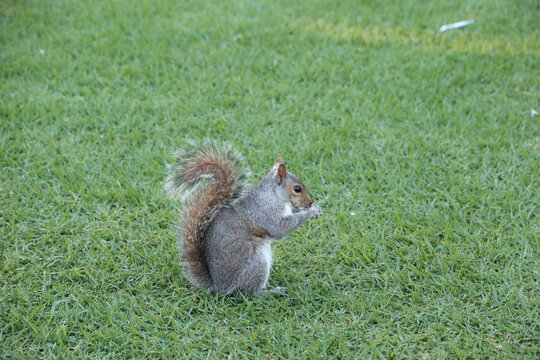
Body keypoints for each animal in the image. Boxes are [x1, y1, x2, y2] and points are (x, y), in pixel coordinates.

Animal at [165, 141, 320, 296]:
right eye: (297, 188)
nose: (310, 201)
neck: (274, 195)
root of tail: (218, 286)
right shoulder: (267, 212)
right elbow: (281, 228)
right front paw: (310, 211)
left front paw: (315, 208)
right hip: (256, 262)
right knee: (248, 292)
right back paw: (271, 291)